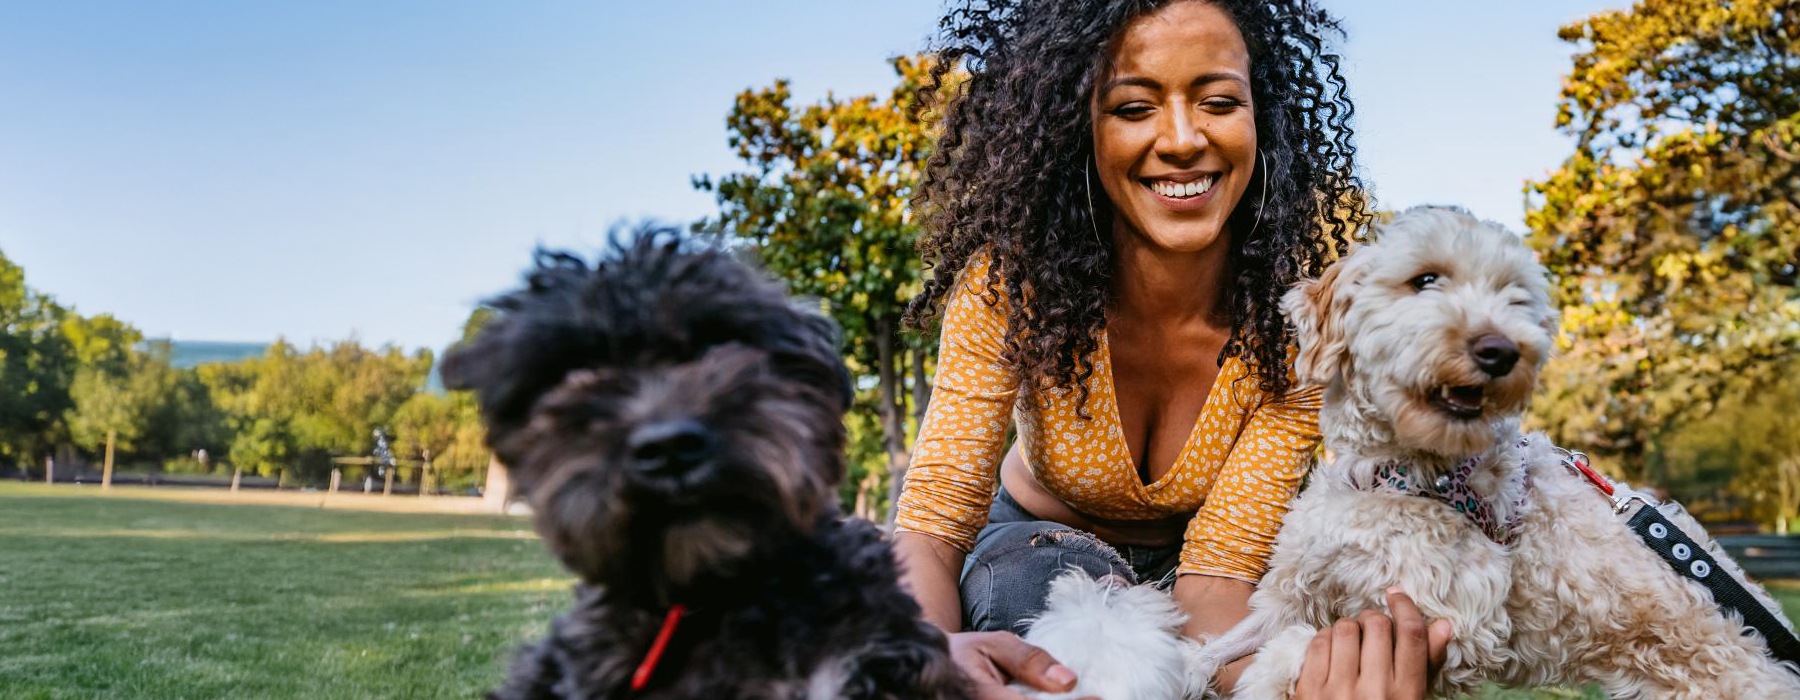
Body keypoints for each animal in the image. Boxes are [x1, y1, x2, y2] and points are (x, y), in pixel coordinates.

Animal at [1180, 206, 1800, 698]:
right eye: (1425, 279)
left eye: (1515, 299)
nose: (1501, 351)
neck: (1390, 473)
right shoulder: (1297, 588)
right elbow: (1225, 644)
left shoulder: (1447, 623)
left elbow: (1304, 649)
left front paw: (1268, 676)